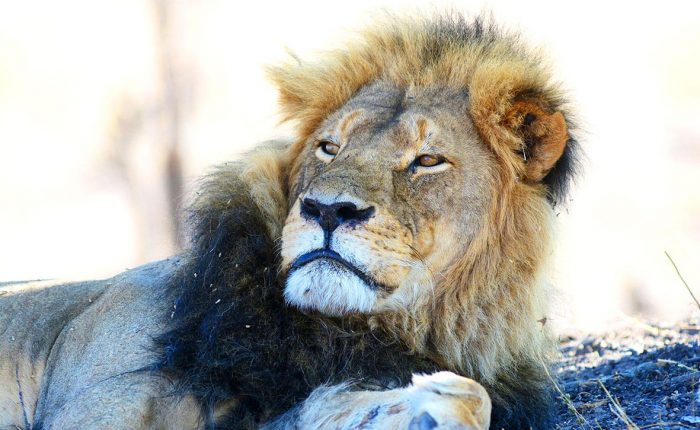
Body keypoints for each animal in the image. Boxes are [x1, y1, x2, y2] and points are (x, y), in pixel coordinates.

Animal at [0, 13, 578, 430]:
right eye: (329, 147)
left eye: (427, 161)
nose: (328, 210)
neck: (340, 334)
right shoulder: (102, 404)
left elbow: (465, 397)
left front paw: (423, 403)